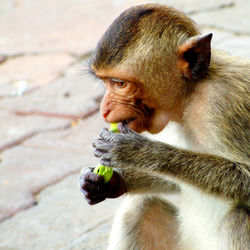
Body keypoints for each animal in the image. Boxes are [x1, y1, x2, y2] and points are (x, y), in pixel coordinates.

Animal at [79, 3, 249, 250]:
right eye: (105, 82)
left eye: (119, 84)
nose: (104, 110)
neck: (191, 96)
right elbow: (173, 184)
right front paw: (106, 182)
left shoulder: (224, 105)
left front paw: (138, 152)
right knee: (138, 209)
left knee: (238, 219)